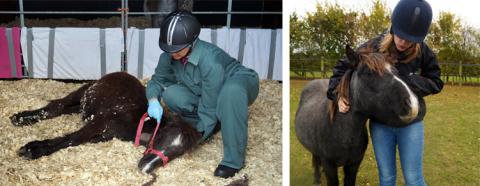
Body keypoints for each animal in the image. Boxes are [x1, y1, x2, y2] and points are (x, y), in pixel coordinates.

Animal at [9, 71, 201, 173]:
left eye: (179, 152)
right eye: (161, 137)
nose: (145, 167)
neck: (135, 121)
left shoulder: (103, 134)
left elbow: (78, 140)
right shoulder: (99, 123)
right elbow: (72, 138)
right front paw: (33, 149)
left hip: (84, 104)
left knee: (66, 109)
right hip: (82, 90)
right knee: (56, 107)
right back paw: (21, 118)